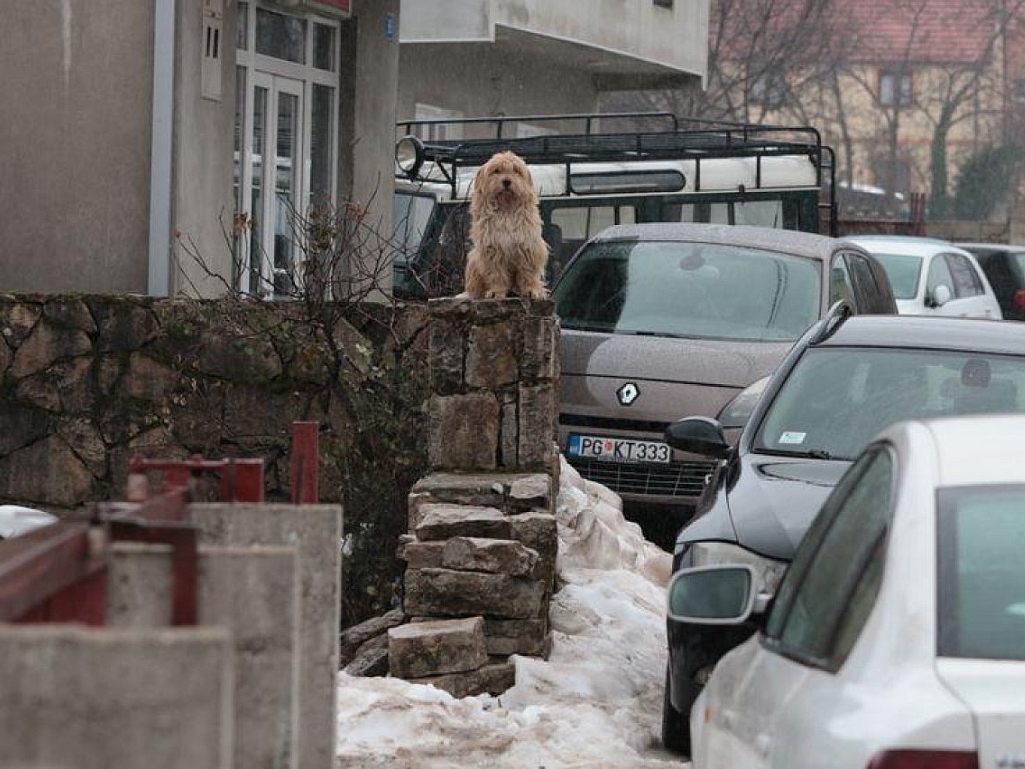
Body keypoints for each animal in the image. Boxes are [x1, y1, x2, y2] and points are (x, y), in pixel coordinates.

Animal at [463, 149, 549, 297]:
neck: (506, 209)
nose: (507, 181)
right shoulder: (492, 249)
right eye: (496, 170)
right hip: (474, 259)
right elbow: (496, 273)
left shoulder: (528, 246)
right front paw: (496, 291)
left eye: (516, 170)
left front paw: (531, 289)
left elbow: (528, 273)